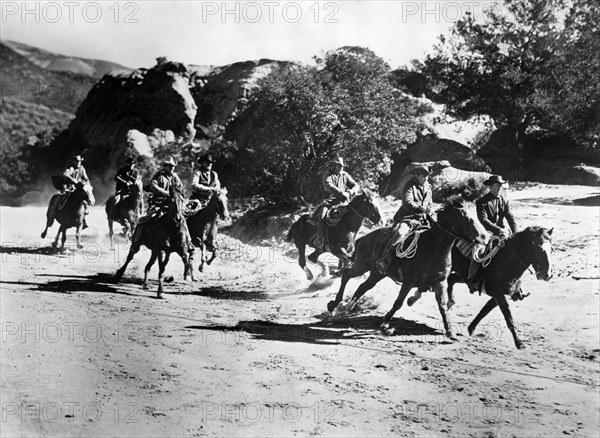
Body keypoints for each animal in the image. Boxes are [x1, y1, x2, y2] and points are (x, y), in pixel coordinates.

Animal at [328, 200, 488, 340]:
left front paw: (450, 332)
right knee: (346, 275)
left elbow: (442, 306)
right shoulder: (408, 281)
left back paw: (347, 306)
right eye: (466, 218)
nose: (485, 237)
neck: (432, 248)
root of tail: (363, 238)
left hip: (377, 273)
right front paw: (385, 323)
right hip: (362, 265)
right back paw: (334, 305)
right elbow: (398, 303)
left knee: (363, 286)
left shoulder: (441, 282)